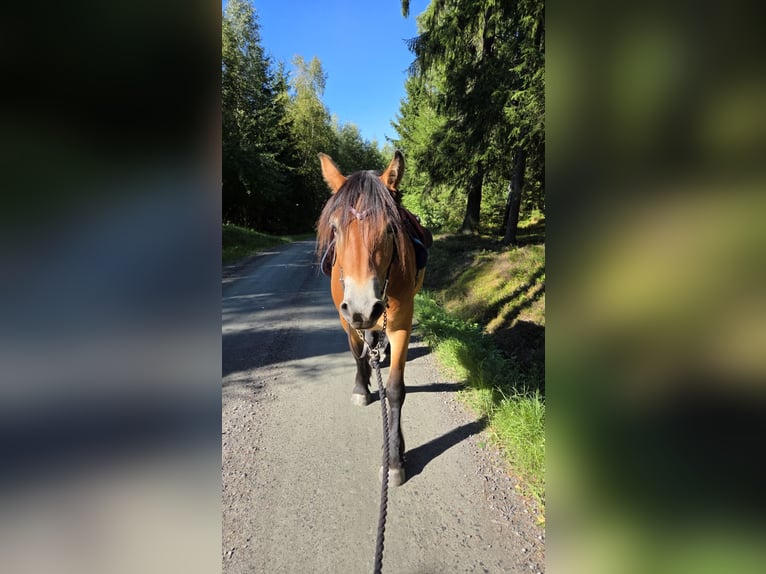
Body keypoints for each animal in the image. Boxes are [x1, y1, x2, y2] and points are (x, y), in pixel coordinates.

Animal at [316, 151, 427, 486]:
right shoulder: (347, 319)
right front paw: (361, 388)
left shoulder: (401, 324)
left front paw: (394, 458)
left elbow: (395, 389)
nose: (363, 307)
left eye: (390, 228)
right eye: (335, 228)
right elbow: (356, 354)